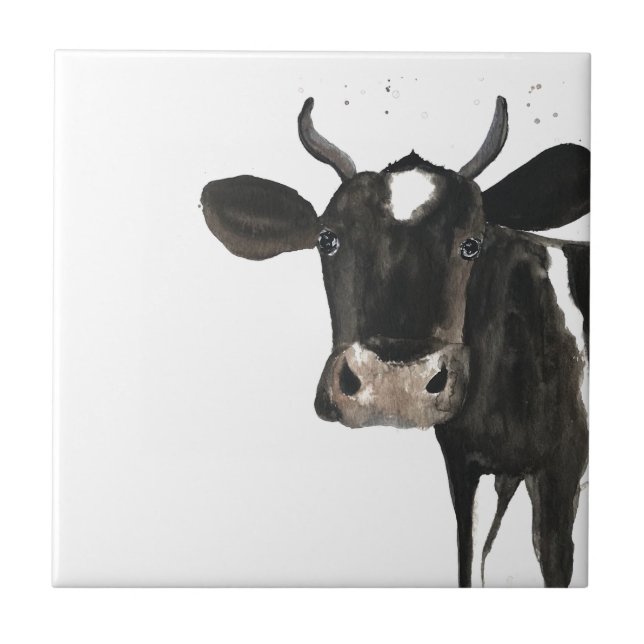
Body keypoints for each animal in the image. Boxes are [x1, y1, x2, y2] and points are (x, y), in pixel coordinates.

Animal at [200, 96, 590, 587]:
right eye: (327, 239)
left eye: (472, 244)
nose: (393, 386)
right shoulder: (467, 466)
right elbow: (470, 563)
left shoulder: (564, 467)